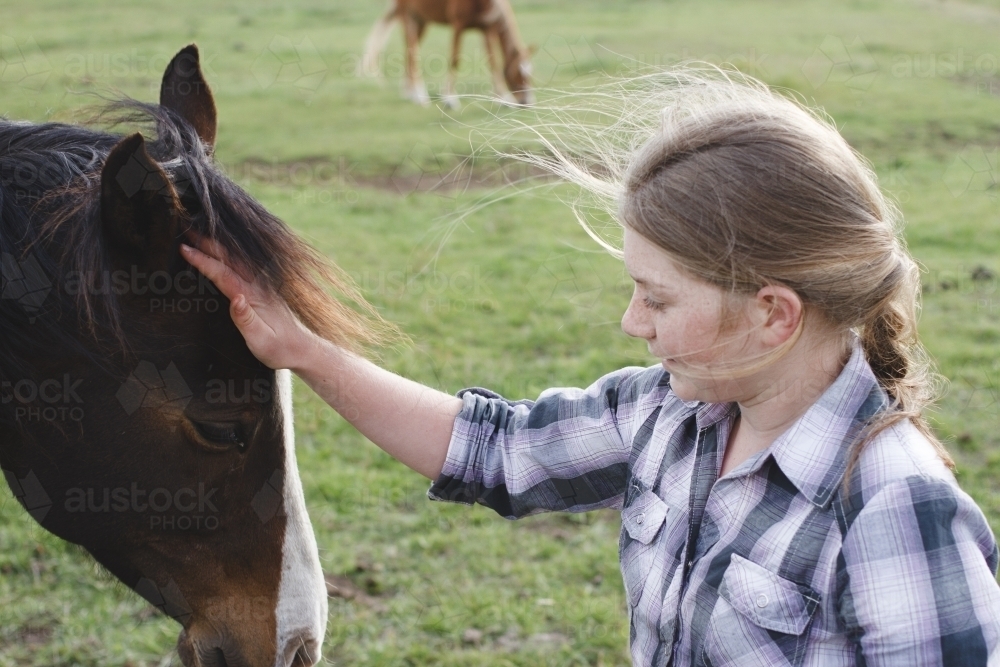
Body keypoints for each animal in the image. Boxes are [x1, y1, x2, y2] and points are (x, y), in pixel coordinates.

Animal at [360, 0, 535, 109]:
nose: (526, 102)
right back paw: (419, 96)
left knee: (408, 52)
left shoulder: (487, 29)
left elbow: (493, 63)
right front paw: (450, 99)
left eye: (530, 74)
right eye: (517, 73)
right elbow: (455, 59)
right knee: (412, 52)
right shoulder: (458, 26)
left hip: (421, 21)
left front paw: (503, 99)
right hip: (409, 17)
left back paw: (409, 92)